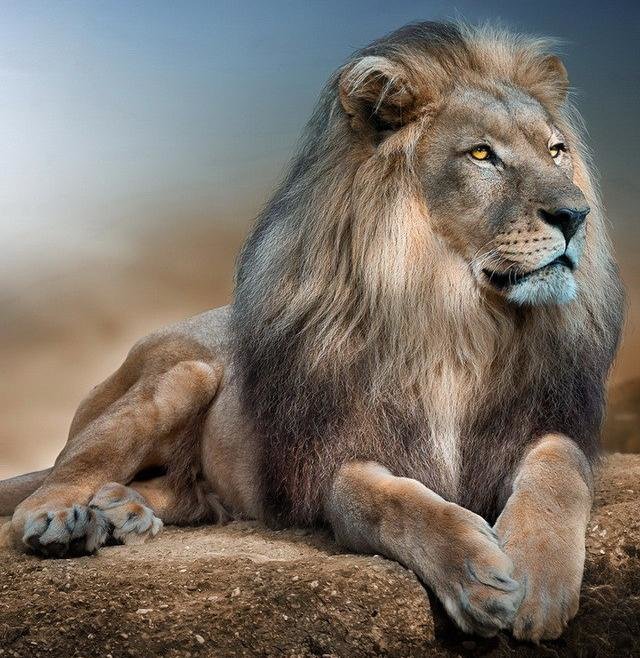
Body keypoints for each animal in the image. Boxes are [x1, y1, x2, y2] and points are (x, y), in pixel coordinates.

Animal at [0, 22, 624, 643]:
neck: (455, 322)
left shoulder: (539, 420)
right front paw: (477, 574)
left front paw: (539, 579)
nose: (576, 215)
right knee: (64, 471)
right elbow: (386, 501)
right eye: (481, 154)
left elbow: (561, 466)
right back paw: (65, 519)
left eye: (556, 150)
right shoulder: (333, 458)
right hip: (183, 375)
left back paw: (121, 512)